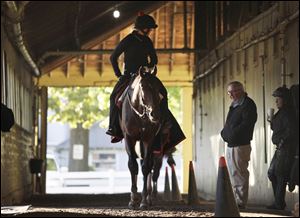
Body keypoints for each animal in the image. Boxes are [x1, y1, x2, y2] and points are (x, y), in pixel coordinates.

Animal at [119, 67, 165, 209]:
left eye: (158, 87)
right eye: (143, 86)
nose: (155, 115)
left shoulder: (148, 139)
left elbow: (145, 167)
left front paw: (144, 201)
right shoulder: (129, 138)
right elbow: (133, 166)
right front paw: (133, 199)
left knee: (149, 166)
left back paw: (149, 198)